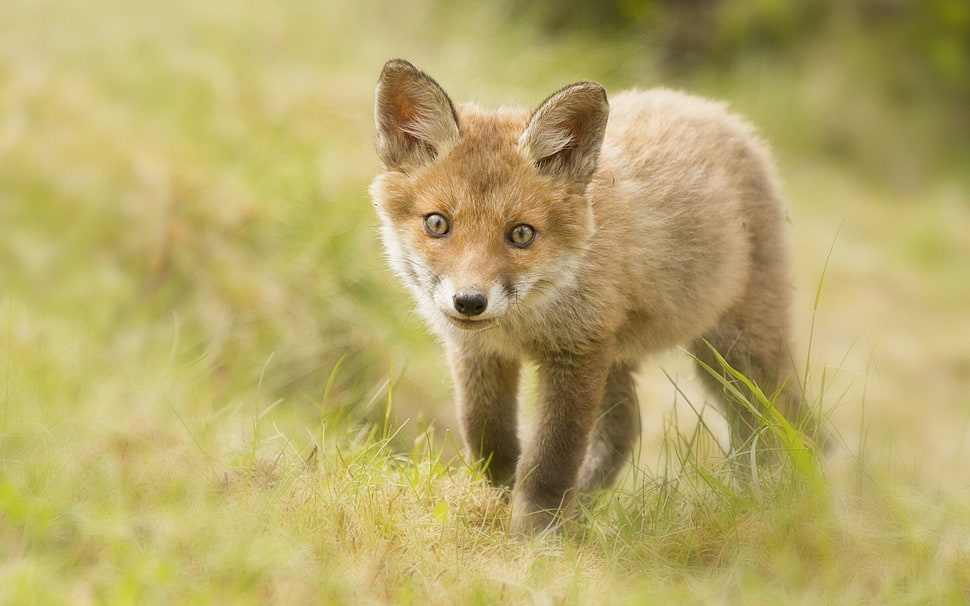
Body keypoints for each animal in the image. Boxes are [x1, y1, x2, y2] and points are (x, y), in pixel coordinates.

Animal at [370, 59, 823, 535]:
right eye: (437, 224)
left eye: (521, 234)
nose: (470, 302)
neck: (524, 322)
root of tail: (712, 108)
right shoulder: (479, 352)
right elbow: (489, 438)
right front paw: (496, 504)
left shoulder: (577, 351)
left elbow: (551, 460)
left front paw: (536, 536)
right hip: (627, 356)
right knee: (627, 429)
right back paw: (586, 509)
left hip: (739, 353)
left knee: (781, 424)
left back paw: (779, 500)